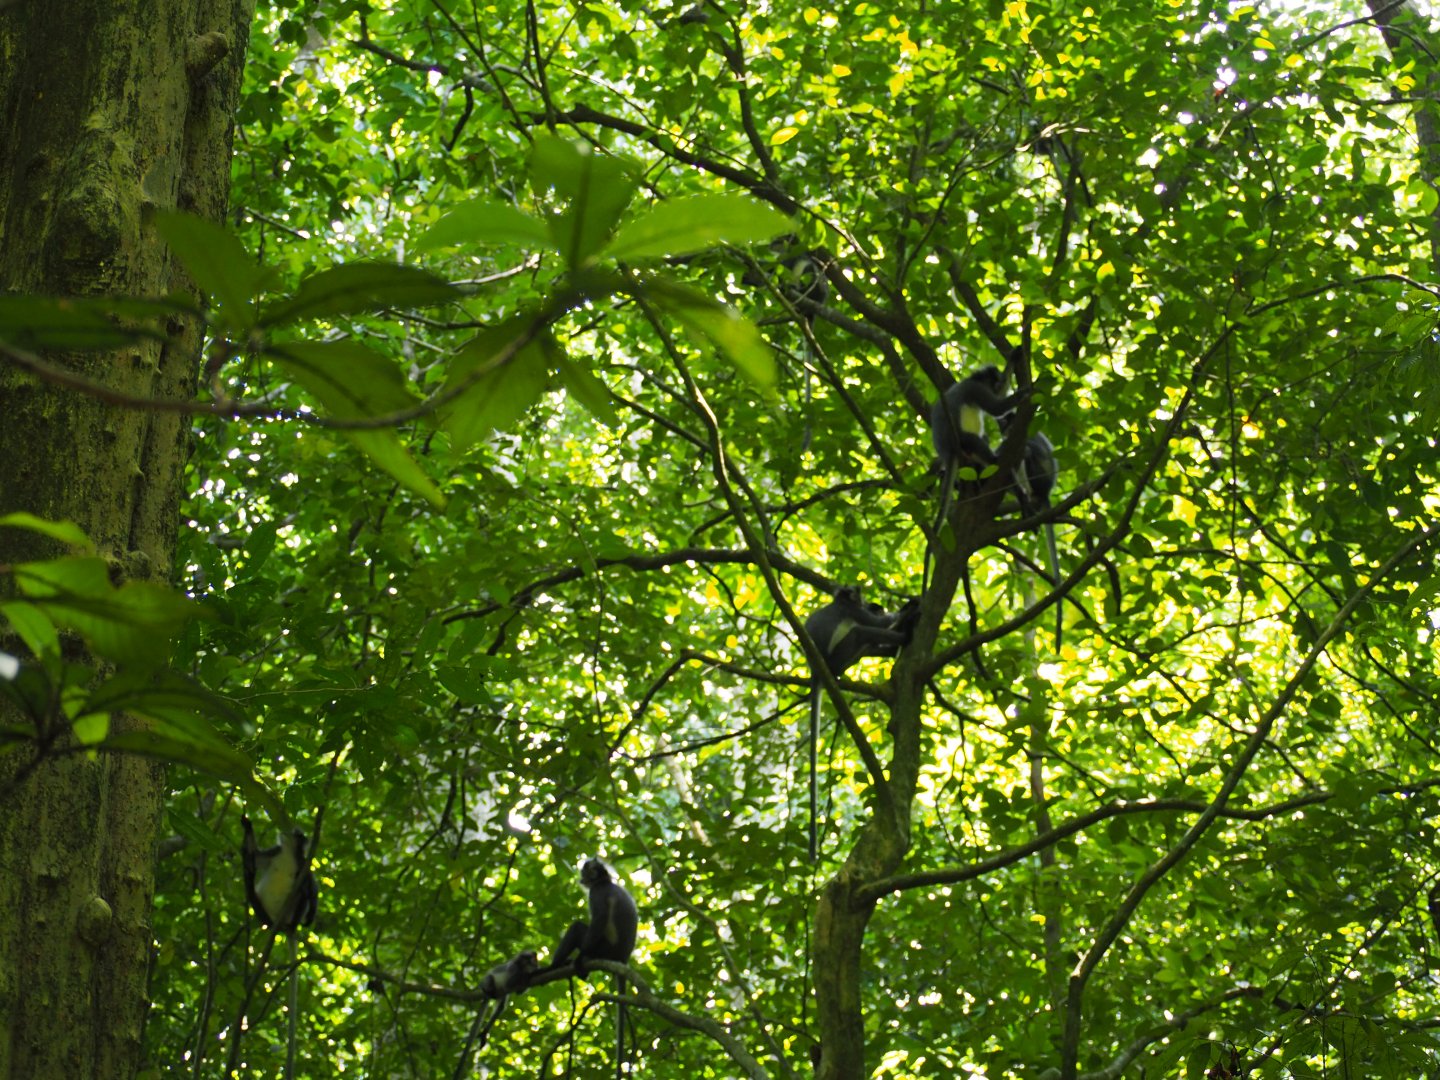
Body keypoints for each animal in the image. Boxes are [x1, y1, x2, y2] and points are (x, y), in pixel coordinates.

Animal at [550, 858, 638, 1079]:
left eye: (584, 872)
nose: (581, 878)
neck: (605, 882)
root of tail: (622, 959)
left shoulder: (597, 893)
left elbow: (598, 921)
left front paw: (579, 958)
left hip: (602, 949)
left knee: (577, 928)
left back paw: (555, 966)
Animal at [802, 586, 919, 860]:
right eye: (853, 592)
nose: (859, 591)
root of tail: (817, 670)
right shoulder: (852, 610)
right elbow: (877, 623)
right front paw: (910, 607)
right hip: (839, 656)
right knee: (861, 633)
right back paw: (904, 634)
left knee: (868, 642)